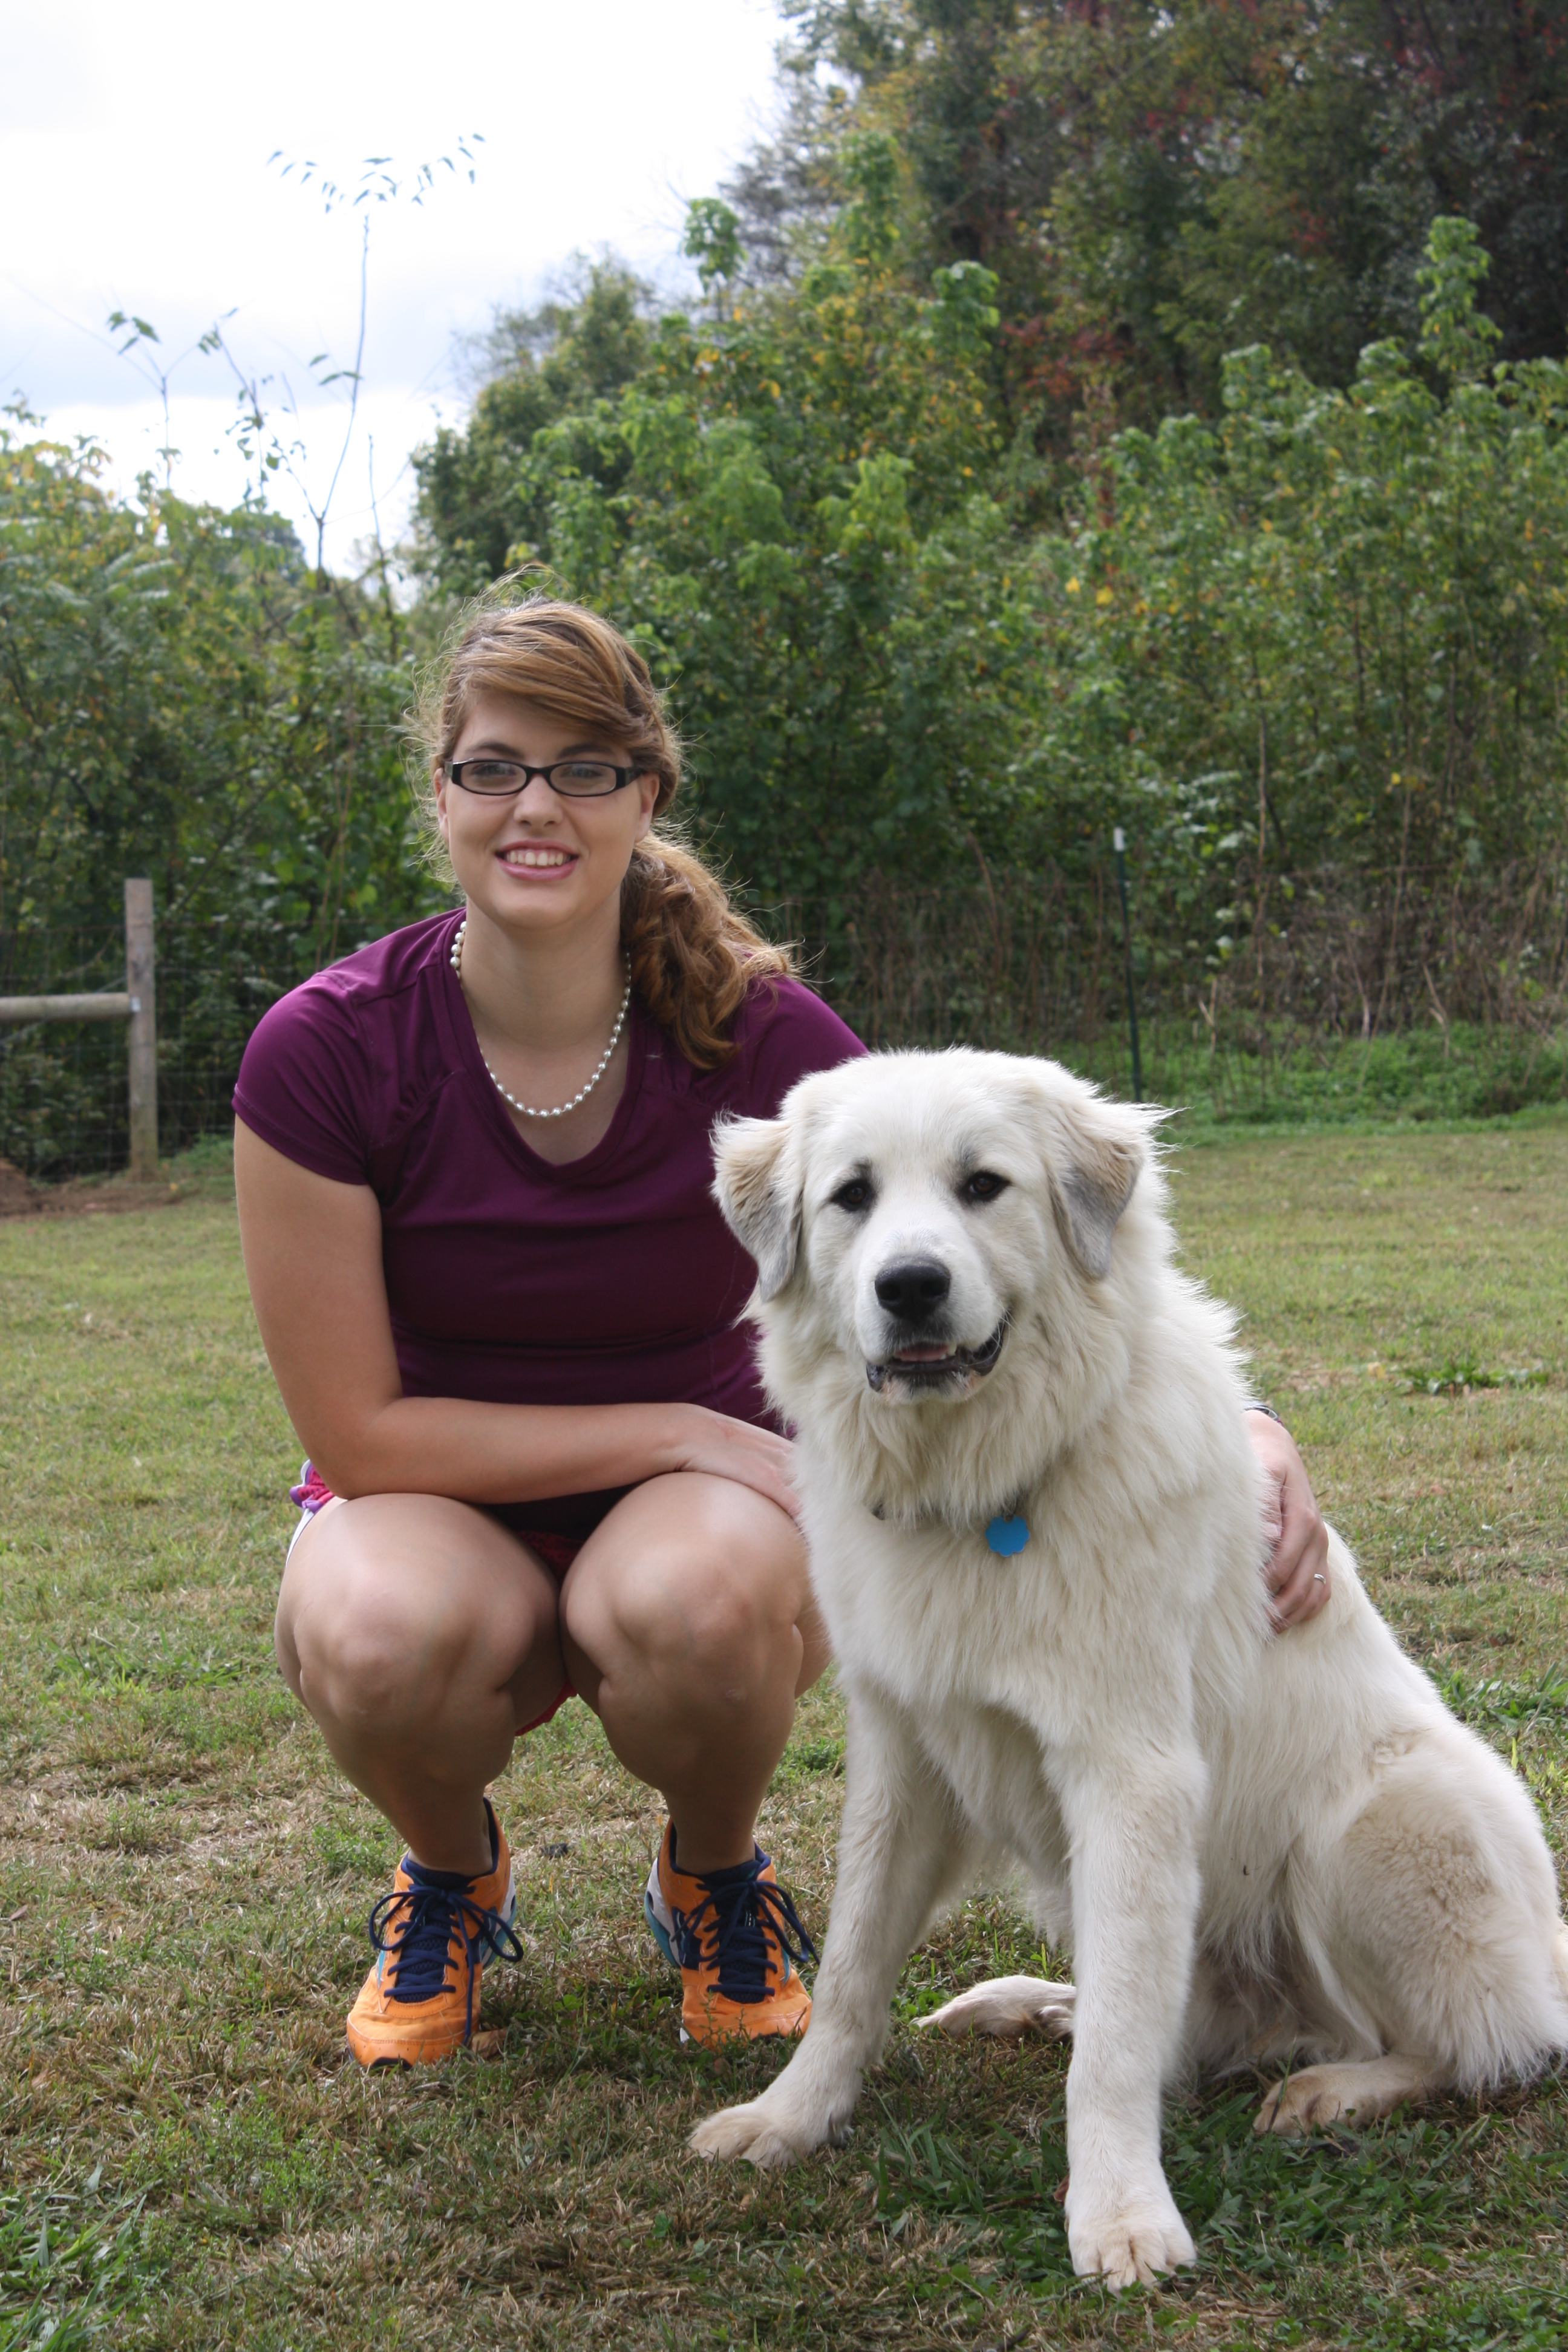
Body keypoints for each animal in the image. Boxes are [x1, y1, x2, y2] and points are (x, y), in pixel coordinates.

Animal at [696, 1058, 1568, 2286]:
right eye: (851, 1197)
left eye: (982, 1185)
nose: (910, 1286)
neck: (986, 1487)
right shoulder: (902, 1765)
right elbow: (852, 1977)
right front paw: (789, 2118)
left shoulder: (1131, 1775)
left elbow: (1110, 2053)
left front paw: (1117, 2217)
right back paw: (1027, 2002)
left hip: (1388, 1820)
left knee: (1471, 2042)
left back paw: (1333, 2089)